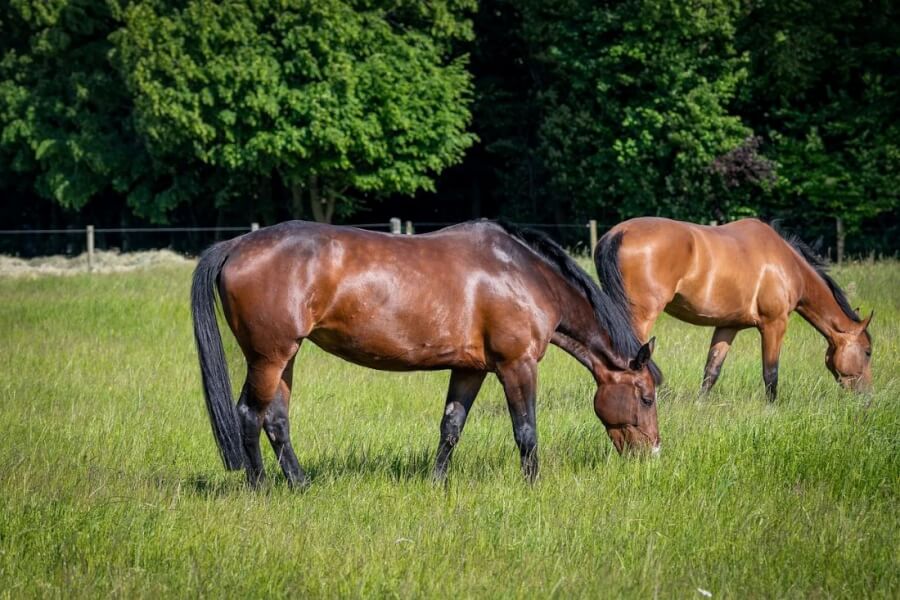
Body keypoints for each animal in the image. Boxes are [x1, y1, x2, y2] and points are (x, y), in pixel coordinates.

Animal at [192, 220, 660, 488]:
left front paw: (437, 483)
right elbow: (526, 431)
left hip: (284, 359)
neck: (522, 273)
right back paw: (261, 489)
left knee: (276, 420)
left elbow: (451, 427)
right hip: (269, 357)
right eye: (647, 397)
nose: (652, 454)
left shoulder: (470, 369)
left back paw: (301, 484)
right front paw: (533, 487)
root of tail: (235, 246)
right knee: (249, 416)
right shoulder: (517, 365)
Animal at [592, 218, 872, 400]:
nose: (867, 396)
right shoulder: (774, 324)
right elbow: (771, 372)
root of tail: (617, 233)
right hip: (640, 316)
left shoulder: (728, 326)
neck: (786, 264)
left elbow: (712, 370)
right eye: (868, 352)